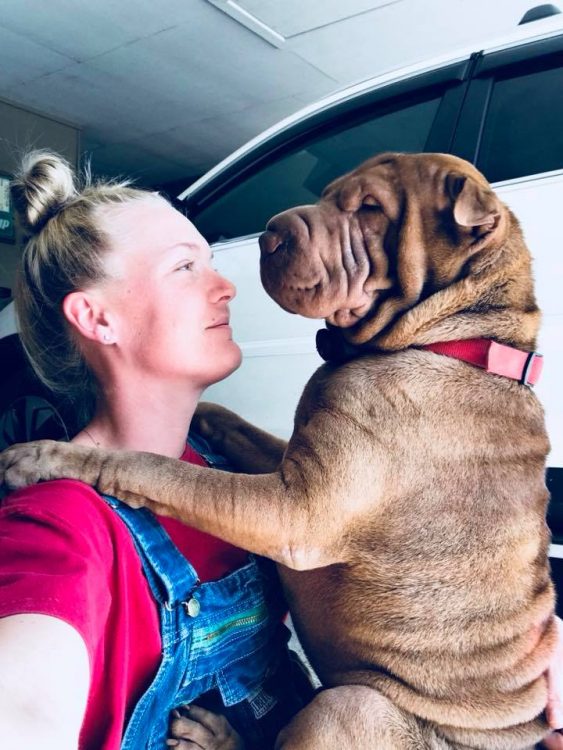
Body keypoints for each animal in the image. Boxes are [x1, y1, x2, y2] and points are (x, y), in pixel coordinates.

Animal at [0, 151, 556, 748]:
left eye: (371, 210)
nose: (269, 233)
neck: (458, 338)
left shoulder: (293, 511)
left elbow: (160, 470)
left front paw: (44, 455)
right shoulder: (292, 464)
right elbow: (235, 426)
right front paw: (202, 412)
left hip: (351, 708)